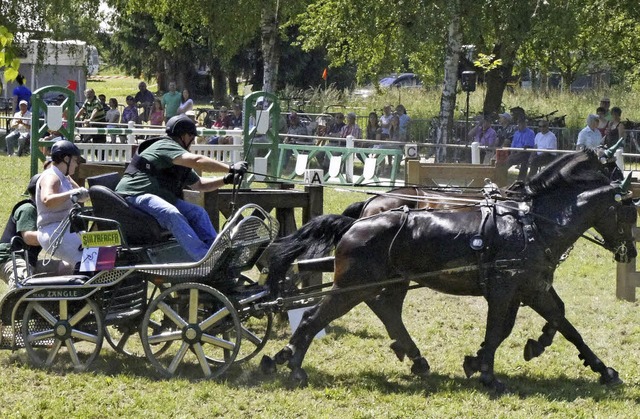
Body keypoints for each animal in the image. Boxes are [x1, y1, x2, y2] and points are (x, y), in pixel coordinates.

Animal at [262, 149, 636, 392]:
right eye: (628, 212)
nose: (629, 252)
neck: (532, 223)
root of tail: (358, 222)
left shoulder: (531, 287)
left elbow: (563, 323)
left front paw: (602, 369)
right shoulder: (505, 290)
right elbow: (499, 329)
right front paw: (487, 374)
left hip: (388, 283)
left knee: (386, 310)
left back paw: (414, 359)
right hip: (352, 287)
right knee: (313, 319)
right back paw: (292, 365)